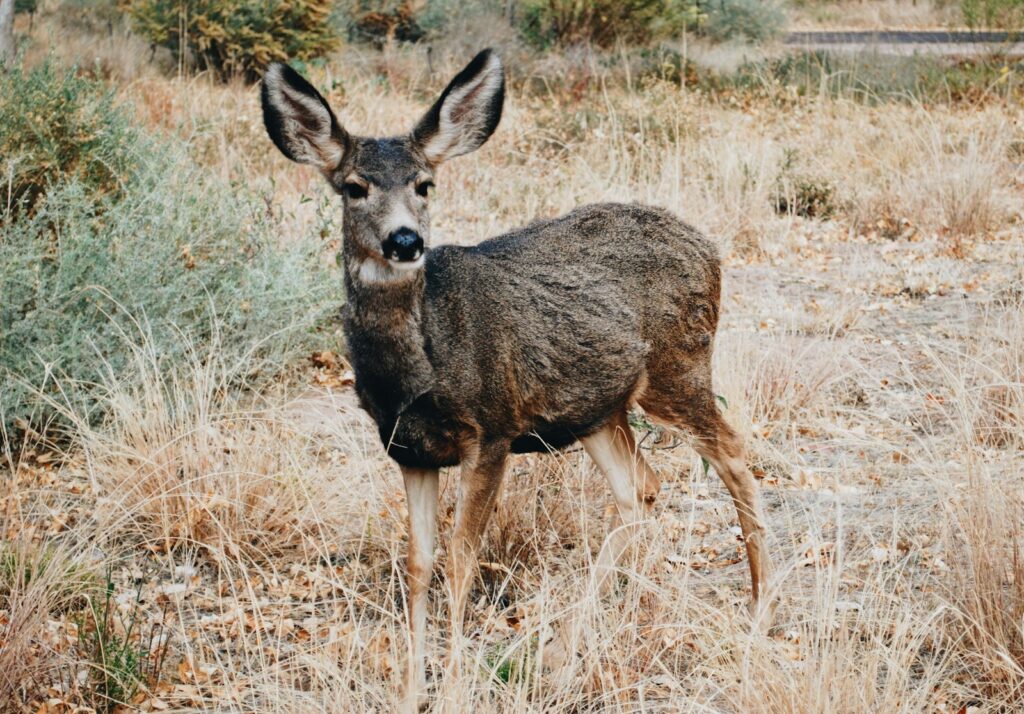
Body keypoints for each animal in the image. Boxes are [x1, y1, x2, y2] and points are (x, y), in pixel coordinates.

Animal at [261, 49, 772, 710]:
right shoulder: (408, 450)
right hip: (597, 408)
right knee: (639, 488)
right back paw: (563, 652)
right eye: (354, 186)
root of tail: (709, 248)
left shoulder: (493, 428)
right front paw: (409, 691)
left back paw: (760, 611)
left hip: (677, 367)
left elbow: (461, 558)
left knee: (732, 452)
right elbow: (418, 564)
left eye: (425, 184)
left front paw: (453, 690)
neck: (418, 367)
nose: (406, 240)